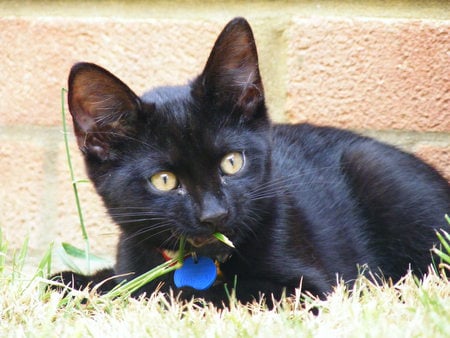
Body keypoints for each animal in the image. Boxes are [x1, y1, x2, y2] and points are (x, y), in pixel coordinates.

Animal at [56, 17, 450, 304]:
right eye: (164, 180)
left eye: (232, 163)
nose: (214, 214)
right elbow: (121, 282)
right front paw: (69, 281)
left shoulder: (308, 289)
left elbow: (194, 295)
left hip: (375, 168)